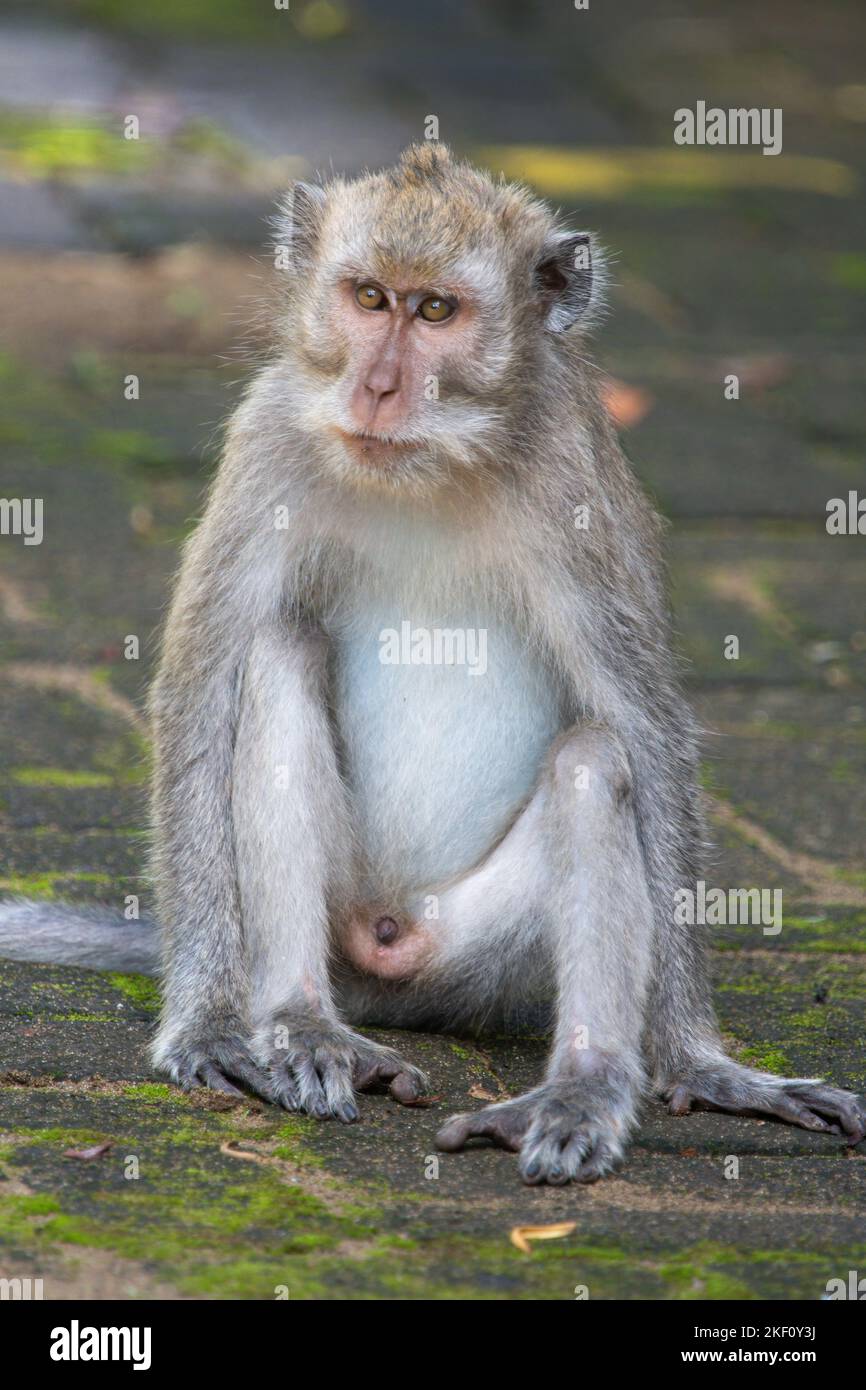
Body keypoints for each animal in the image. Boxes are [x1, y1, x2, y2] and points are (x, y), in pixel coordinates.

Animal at [3, 143, 861, 1184]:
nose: (377, 387)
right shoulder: (269, 439)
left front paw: (702, 1063)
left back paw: (582, 1088)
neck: (427, 467)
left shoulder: (573, 478)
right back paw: (300, 1022)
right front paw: (205, 1024)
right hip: (343, 922)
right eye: (370, 298)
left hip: (484, 957)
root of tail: (388, 966)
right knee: (277, 651)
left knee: (593, 760)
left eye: (438, 312)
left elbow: (646, 731)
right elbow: (201, 690)